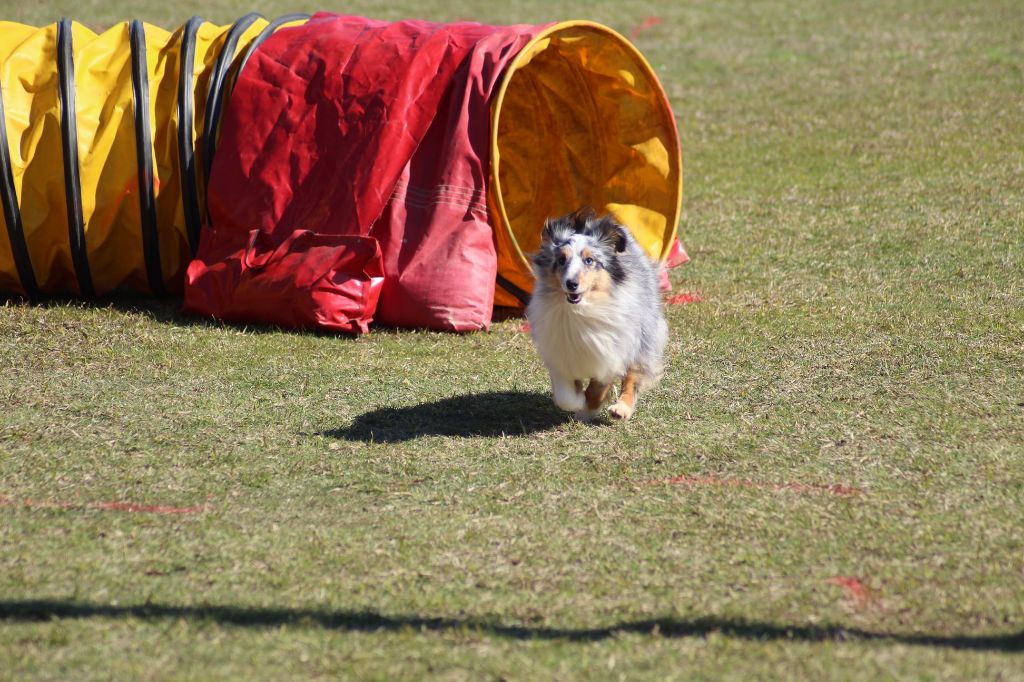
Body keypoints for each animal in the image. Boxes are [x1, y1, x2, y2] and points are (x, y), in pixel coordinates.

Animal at [524, 206, 667, 419]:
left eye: (589, 260)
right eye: (561, 260)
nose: (571, 284)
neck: (581, 310)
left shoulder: (610, 349)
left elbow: (599, 386)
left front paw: (587, 408)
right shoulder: (559, 349)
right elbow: (565, 393)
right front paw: (576, 401)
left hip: (643, 332)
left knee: (633, 375)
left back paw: (620, 409)